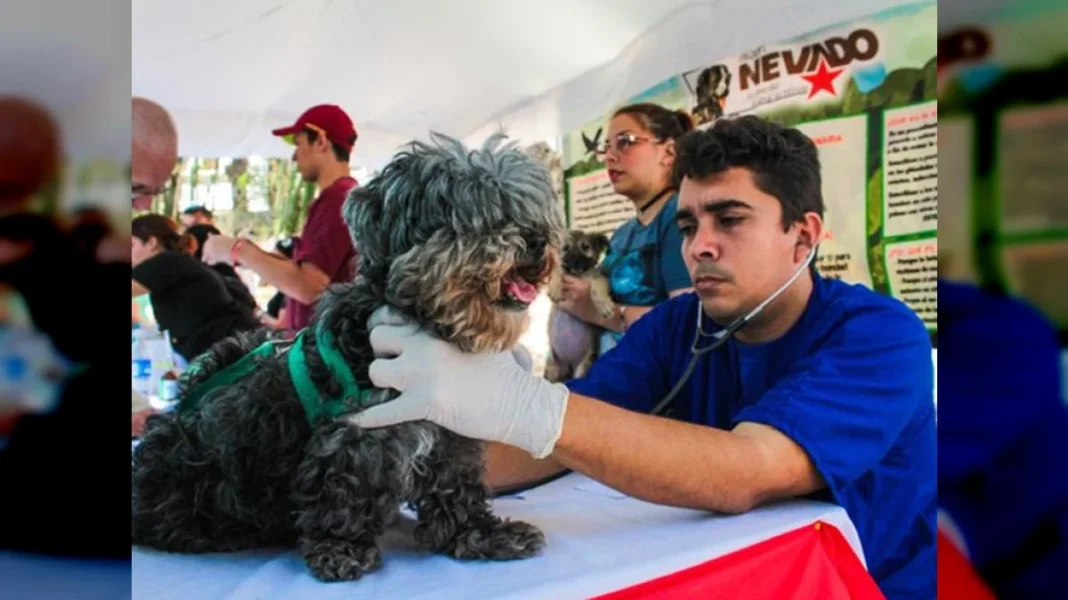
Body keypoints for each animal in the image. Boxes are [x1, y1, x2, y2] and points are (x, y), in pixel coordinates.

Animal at [129, 130, 568, 580]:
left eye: (524, 209)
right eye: (478, 210)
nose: (537, 239)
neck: (430, 328)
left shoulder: (454, 429)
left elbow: (457, 488)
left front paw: (480, 534)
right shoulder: (354, 435)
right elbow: (344, 489)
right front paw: (340, 546)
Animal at [546, 231, 615, 380]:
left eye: (585, 247)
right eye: (565, 248)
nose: (575, 261)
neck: (578, 274)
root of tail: (569, 366)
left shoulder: (599, 278)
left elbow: (597, 288)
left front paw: (604, 305)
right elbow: (557, 270)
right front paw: (555, 288)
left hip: (582, 368)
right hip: (552, 368)